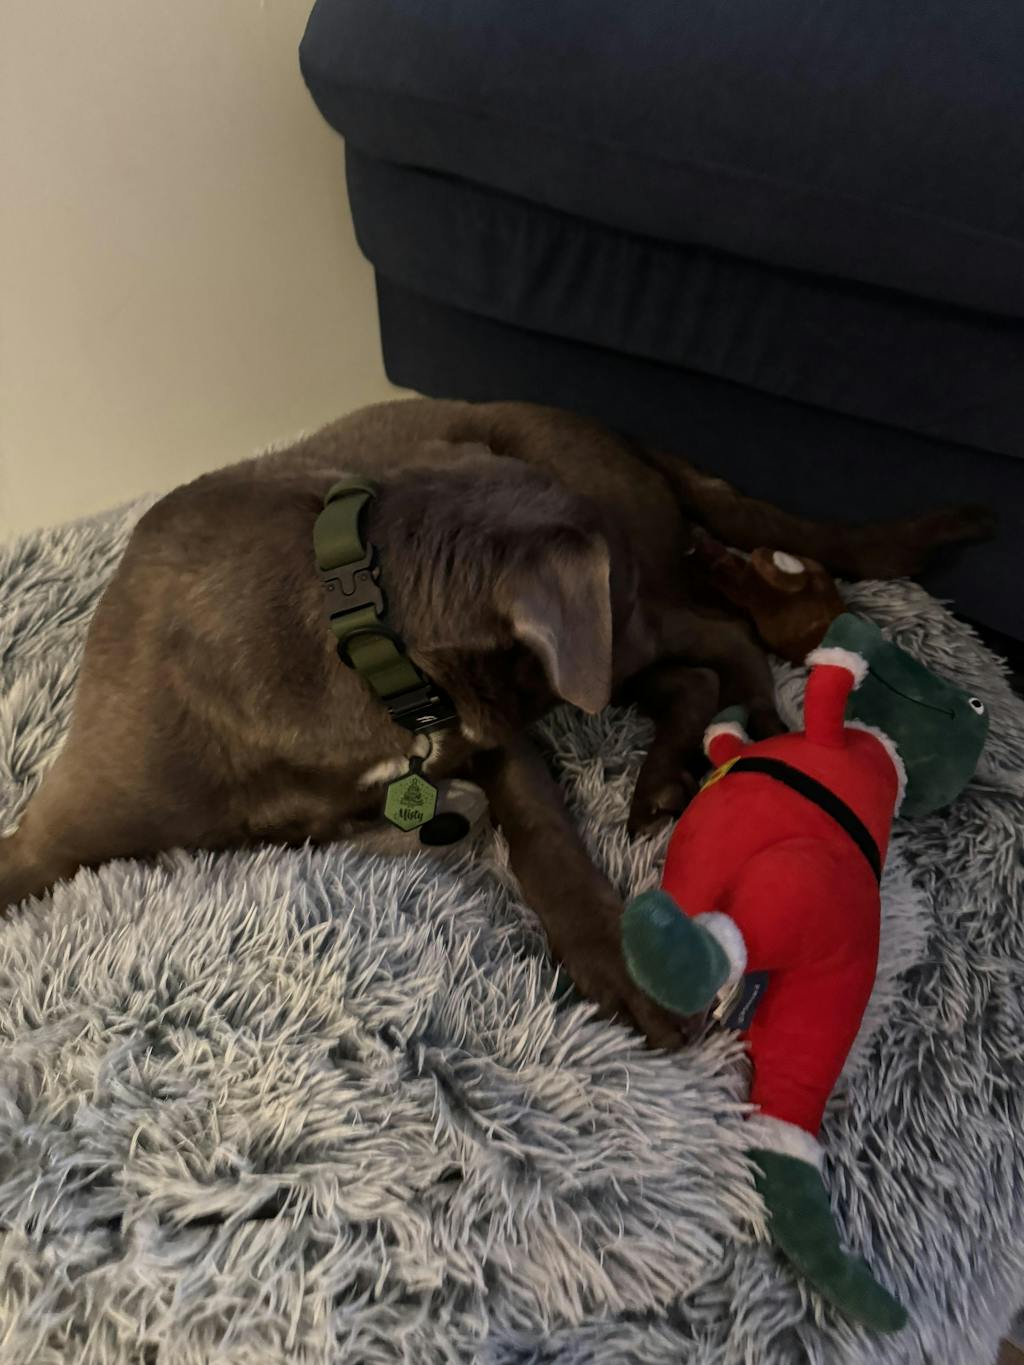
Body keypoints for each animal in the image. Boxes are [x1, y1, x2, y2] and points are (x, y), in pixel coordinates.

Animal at [0, 399, 990, 1045]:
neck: (357, 635)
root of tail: (616, 431)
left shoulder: (492, 729)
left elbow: (546, 841)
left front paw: (621, 964)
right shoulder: (64, 830)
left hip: (634, 633)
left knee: (727, 639)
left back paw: (737, 737)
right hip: (625, 649)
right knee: (697, 662)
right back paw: (670, 769)